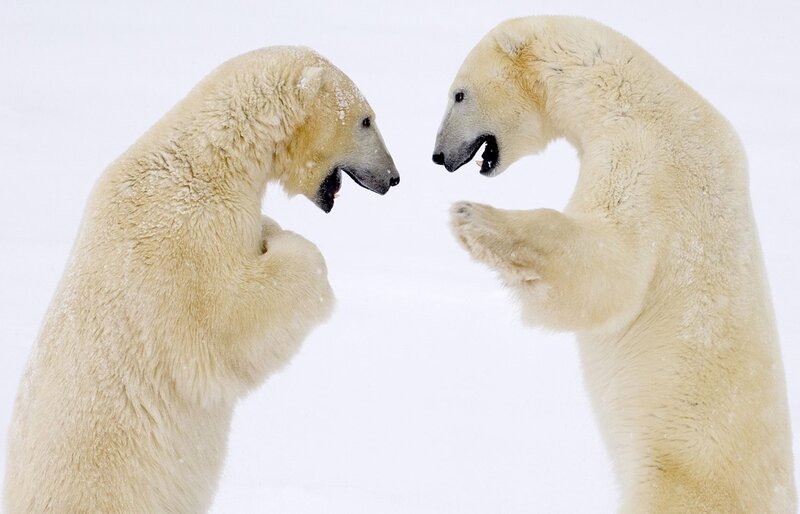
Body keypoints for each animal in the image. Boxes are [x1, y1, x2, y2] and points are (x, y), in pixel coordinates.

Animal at [4, 46, 398, 513]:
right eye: (366, 120)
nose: (393, 178)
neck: (210, 158)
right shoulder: (184, 236)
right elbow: (227, 323)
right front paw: (285, 244)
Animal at [432, 16, 796, 513]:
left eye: (459, 94)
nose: (437, 155)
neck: (630, 96)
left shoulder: (647, 160)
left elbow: (612, 273)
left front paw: (473, 217)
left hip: (677, 477)